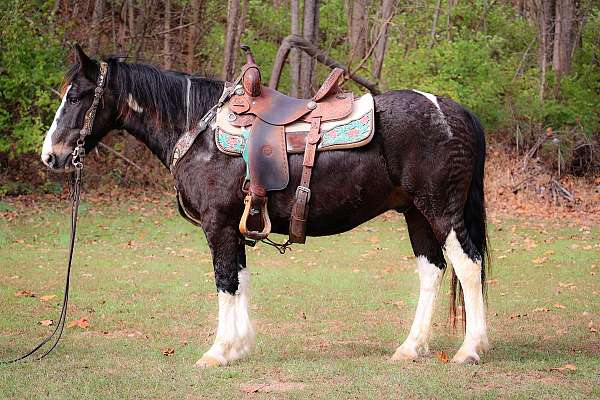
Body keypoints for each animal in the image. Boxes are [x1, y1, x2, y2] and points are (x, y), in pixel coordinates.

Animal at [43, 45, 492, 368]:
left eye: (77, 95)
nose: (50, 155)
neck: (198, 133)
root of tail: (453, 111)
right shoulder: (236, 225)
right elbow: (240, 279)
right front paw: (238, 347)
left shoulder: (219, 224)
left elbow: (225, 281)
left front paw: (217, 351)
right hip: (415, 213)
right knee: (432, 271)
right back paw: (410, 347)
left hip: (441, 211)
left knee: (468, 266)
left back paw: (470, 349)